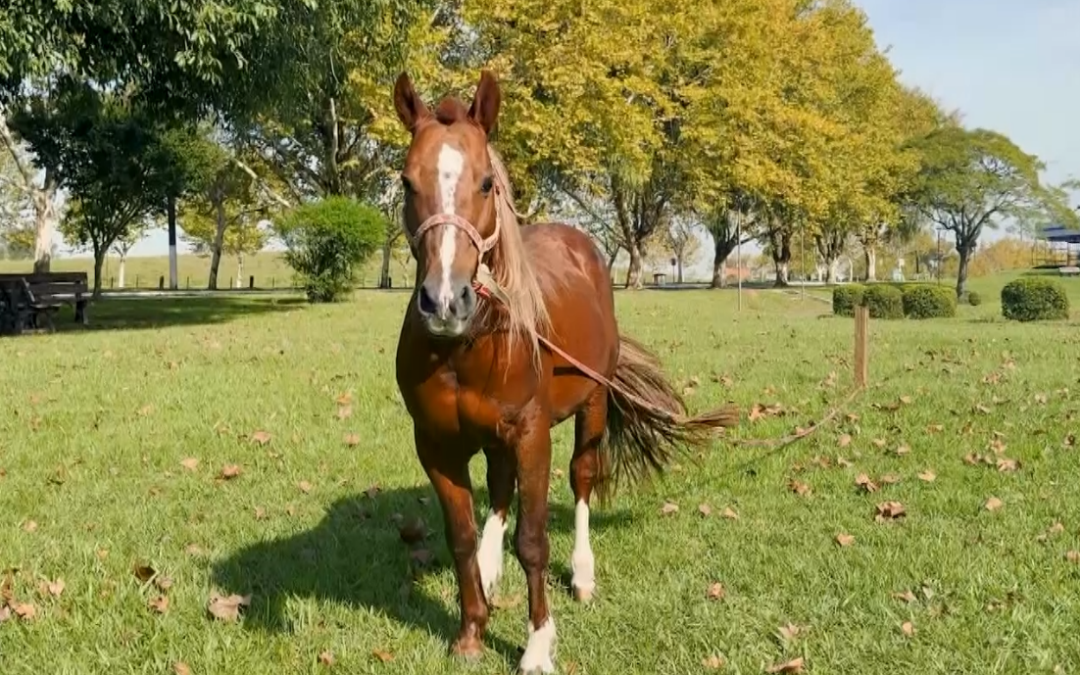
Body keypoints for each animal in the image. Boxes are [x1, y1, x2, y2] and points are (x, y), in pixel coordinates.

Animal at [392, 69, 738, 674]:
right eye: (409, 183)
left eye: (487, 183)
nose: (444, 301)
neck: (469, 345)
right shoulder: (436, 444)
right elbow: (460, 536)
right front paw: (472, 629)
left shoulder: (532, 435)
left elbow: (533, 542)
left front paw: (537, 645)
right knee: (499, 490)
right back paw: (491, 570)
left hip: (591, 409)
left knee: (580, 480)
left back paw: (581, 574)